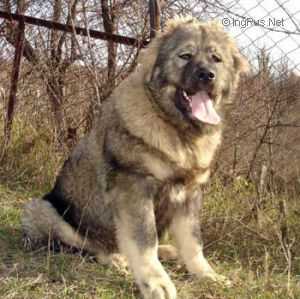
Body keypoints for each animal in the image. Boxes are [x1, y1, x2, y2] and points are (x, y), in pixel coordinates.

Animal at [21, 17, 248, 299]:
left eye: (216, 59)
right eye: (185, 56)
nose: (207, 75)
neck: (178, 130)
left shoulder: (189, 194)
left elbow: (193, 242)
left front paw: (206, 275)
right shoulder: (134, 185)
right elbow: (144, 239)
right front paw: (156, 282)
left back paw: (167, 251)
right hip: (42, 209)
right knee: (89, 245)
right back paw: (117, 258)